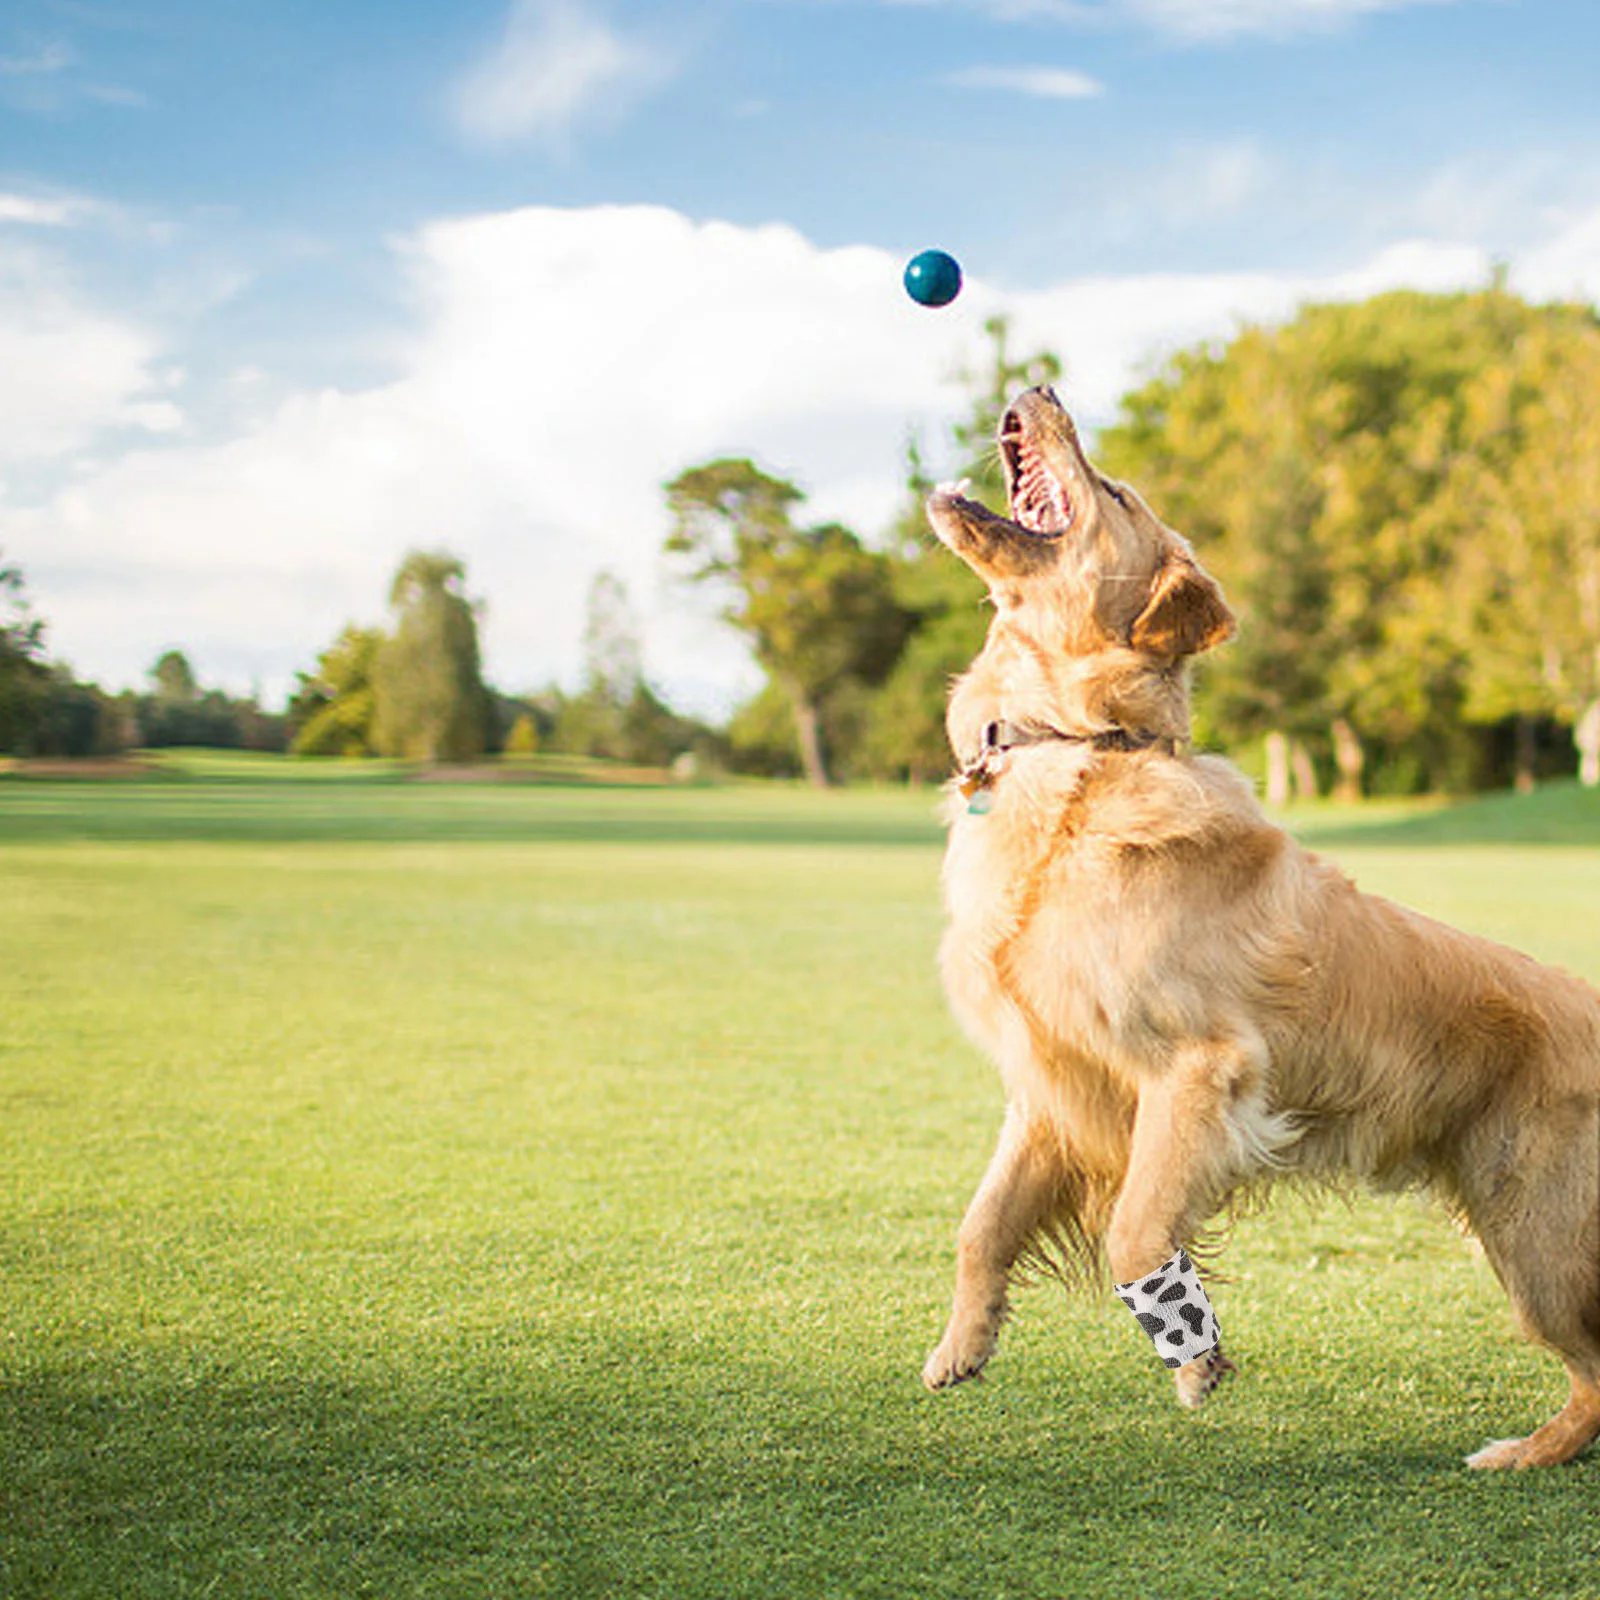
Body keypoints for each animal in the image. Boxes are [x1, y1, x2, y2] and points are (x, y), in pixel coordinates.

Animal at [921, 380, 1600, 1465]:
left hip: (1537, 1232)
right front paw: (964, 1344)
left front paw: (1189, 1347)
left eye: (1114, 490)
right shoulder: (1050, 1082)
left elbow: (1135, 1227)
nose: (1043, 386)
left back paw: (1522, 1451)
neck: (1082, 750)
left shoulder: (1200, 1071)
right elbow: (980, 1226)